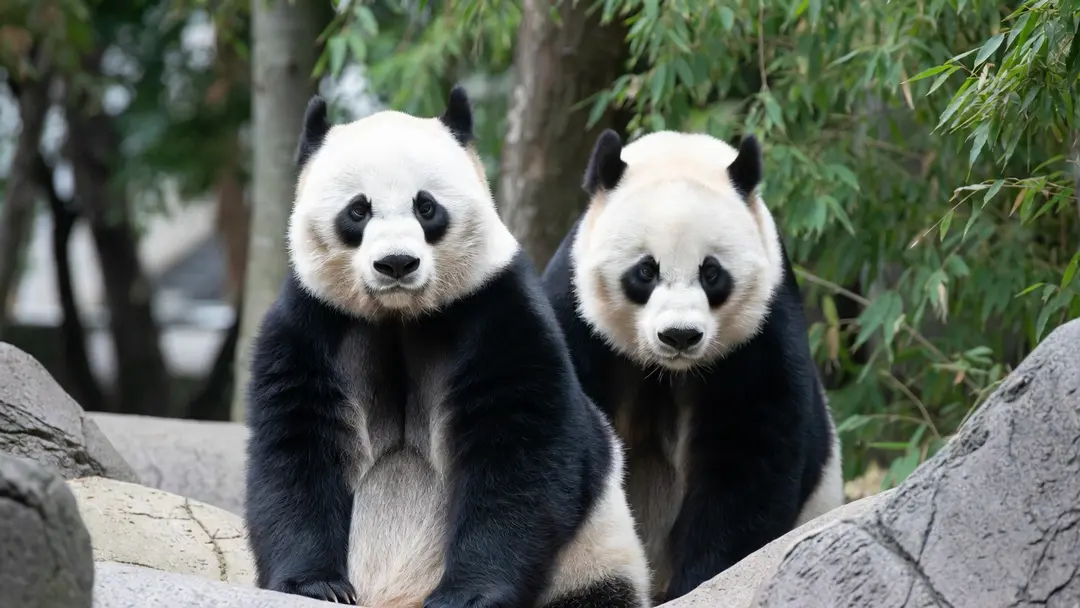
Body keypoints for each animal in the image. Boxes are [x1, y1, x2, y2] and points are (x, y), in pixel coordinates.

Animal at [243, 86, 651, 608]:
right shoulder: (316, 324)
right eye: (358, 210)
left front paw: (469, 593)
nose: (397, 263)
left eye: (426, 207)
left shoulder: (495, 311)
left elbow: (518, 458)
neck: (398, 315)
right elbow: (297, 450)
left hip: (592, 559)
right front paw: (314, 584)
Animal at [540, 128, 844, 603]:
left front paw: (695, 584)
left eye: (711, 272)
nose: (679, 335)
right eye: (645, 271)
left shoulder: (759, 333)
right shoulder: (578, 320)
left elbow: (746, 459)